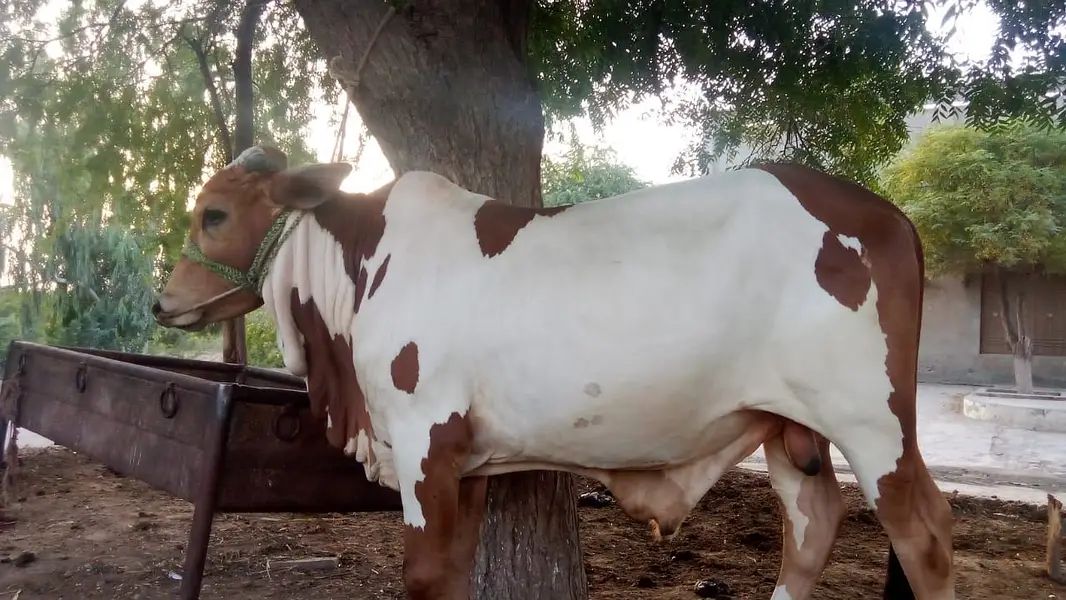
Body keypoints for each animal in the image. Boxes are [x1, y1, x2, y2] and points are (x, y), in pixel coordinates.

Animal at [153, 146, 954, 600]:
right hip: (790, 422)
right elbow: (453, 574)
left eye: (213, 214)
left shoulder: (421, 438)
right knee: (813, 526)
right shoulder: (467, 460)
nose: (164, 301)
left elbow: (423, 575)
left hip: (873, 422)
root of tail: (890, 214)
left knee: (925, 535)